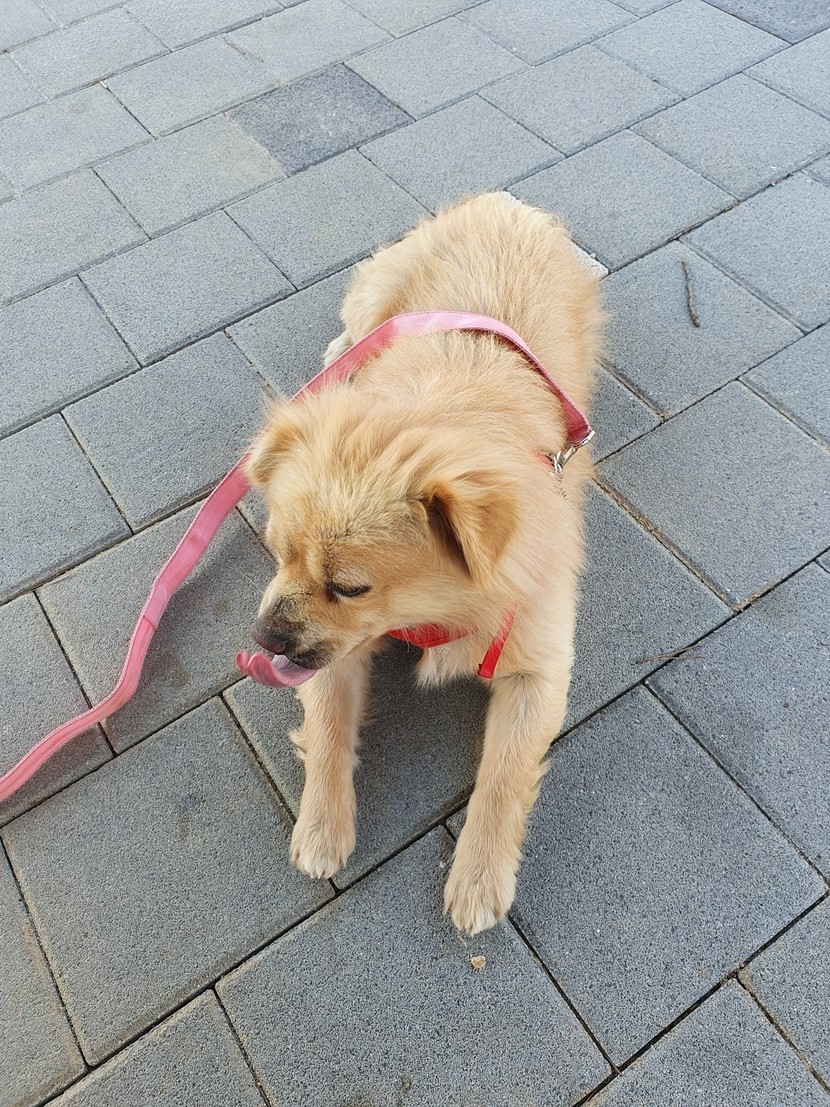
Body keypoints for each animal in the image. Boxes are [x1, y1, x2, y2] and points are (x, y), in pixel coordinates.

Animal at [245, 192, 602, 934]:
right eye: (277, 554)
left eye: (350, 586)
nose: (262, 638)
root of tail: (504, 202)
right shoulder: (334, 654)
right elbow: (327, 729)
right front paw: (322, 826)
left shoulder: (540, 672)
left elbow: (502, 777)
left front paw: (479, 876)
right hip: (380, 289)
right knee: (355, 325)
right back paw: (340, 358)